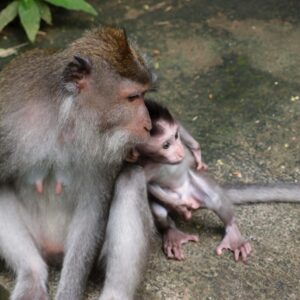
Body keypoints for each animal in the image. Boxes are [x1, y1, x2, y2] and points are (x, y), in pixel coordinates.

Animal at [0, 27, 155, 298]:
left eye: (144, 95)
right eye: (133, 97)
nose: (148, 125)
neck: (65, 120)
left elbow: (92, 213)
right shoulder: (7, 122)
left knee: (131, 181)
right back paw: (31, 275)